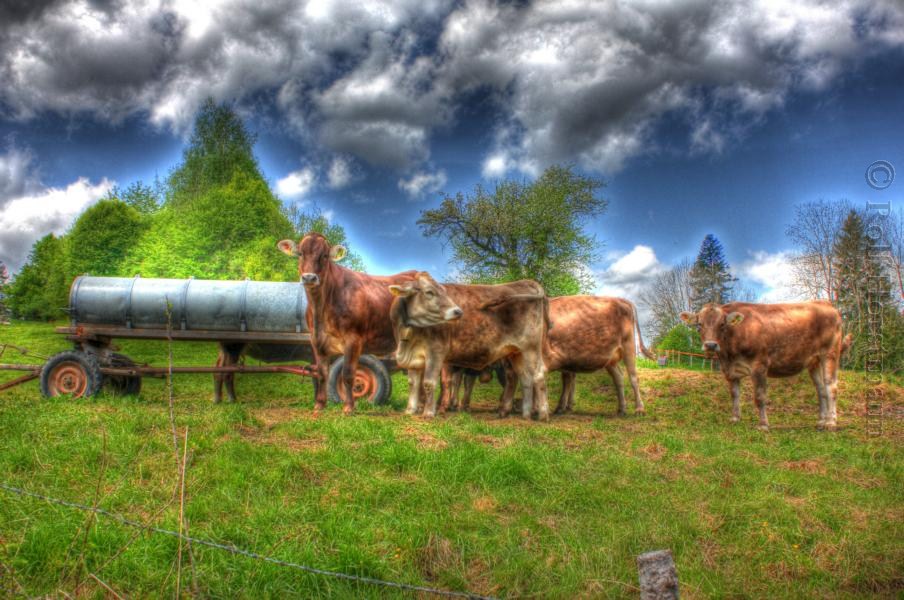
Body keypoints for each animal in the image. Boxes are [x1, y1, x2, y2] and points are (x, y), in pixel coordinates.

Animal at [278, 233, 418, 412]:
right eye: (300, 253)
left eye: (325, 256)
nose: (309, 277)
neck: (321, 309)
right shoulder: (316, 340)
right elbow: (321, 373)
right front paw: (319, 405)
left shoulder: (353, 339)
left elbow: (348, 374)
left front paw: (349, 407)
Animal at [388, 272, 552, 418]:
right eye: (429, 292)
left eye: (444, 291)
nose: (458, 311)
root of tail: (526, 282)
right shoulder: (414, 359)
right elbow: (413, 383)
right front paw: (410, 410)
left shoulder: (436, 352)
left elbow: (428, 383)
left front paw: (428, 413)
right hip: (516, 352)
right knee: (525, 378)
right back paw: (524, 414)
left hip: (531, 348)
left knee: (538, 376)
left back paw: (543, 415)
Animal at [684, 302, 848, 428]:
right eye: (699, 324)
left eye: (722, 324)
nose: (711, 345)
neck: (729, 355)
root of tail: (825, 303)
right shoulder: (730, 371)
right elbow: (735, 394)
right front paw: (735, 418)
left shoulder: (759, 365)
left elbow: (760, 396)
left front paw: (763, 424)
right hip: (814, 360)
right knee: (820, 388)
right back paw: (821, 421)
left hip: (830, 353)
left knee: (830, 386)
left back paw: (831, 422)